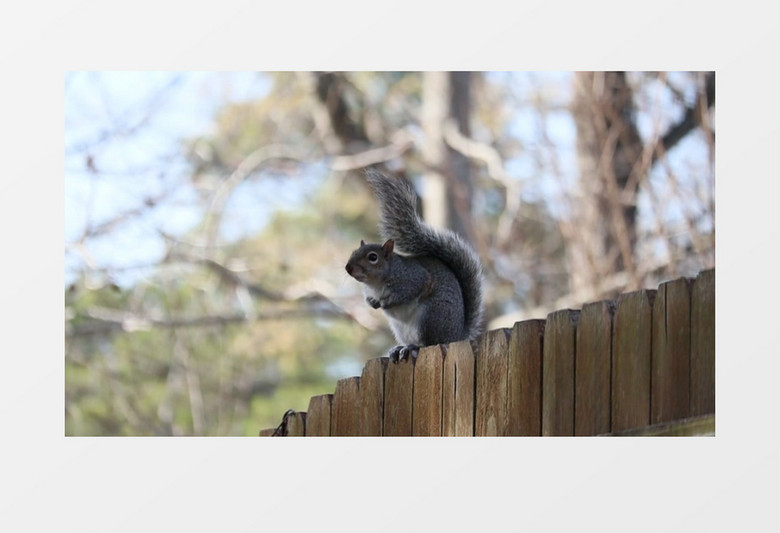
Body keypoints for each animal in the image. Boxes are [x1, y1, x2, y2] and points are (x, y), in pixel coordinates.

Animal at [346, 169, 484, 362]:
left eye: (373, 257)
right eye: (353, 252)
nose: (348, 268)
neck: (376, 283)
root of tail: (456, 337)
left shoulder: (413, 278)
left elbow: (410, 290)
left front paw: (387, 302)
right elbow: (369, 298)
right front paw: (372, 303)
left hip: (431, 317)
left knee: (429, 343)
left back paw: (413, 347)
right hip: (401, 329)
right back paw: (398, 349)